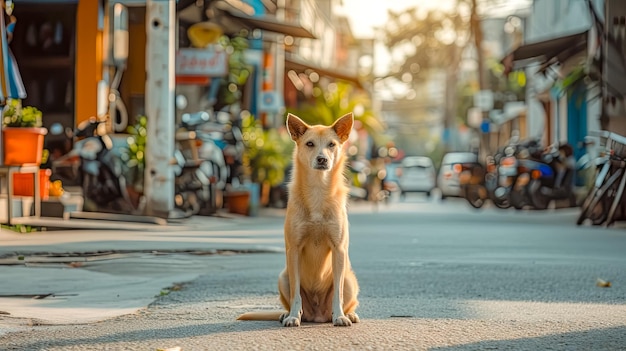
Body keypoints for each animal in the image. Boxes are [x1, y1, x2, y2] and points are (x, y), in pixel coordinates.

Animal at [236, 113, 358, 328]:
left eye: (332, 144)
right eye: (310, 143)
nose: (322, 159)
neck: (317, 189)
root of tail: (318, 316)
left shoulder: (339, 250)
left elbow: (338, 294)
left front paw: (341, 316)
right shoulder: (293, 250)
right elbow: (296, 293)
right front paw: (293, 316)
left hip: (349, 279)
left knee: (345, 296)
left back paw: (348, 315)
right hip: (282, 277)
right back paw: (285, 314)